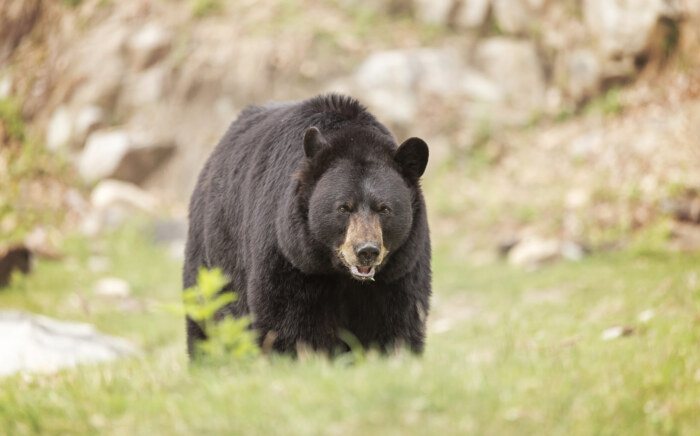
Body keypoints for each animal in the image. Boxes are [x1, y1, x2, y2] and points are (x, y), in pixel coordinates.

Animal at [183, 93, 430, 356]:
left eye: (384, 208)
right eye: (343, 208)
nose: (366, 251)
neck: (340, 275)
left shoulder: (401, 268)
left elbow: (399, 320)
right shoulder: (288, 254)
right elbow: (286, 320)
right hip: (211, 256)